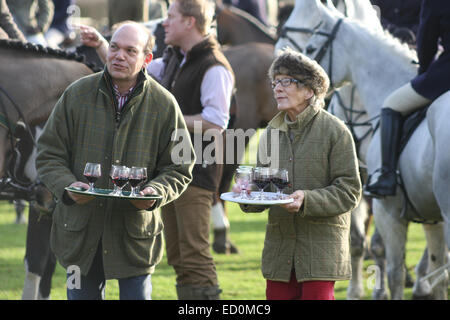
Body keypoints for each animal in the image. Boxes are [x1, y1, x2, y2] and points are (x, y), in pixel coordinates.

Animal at [276, 0, 448, 300]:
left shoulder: (384, 203)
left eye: (311, 47)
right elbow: (357, 241)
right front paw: (357, 289)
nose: (279, 54)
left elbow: (391, 263)